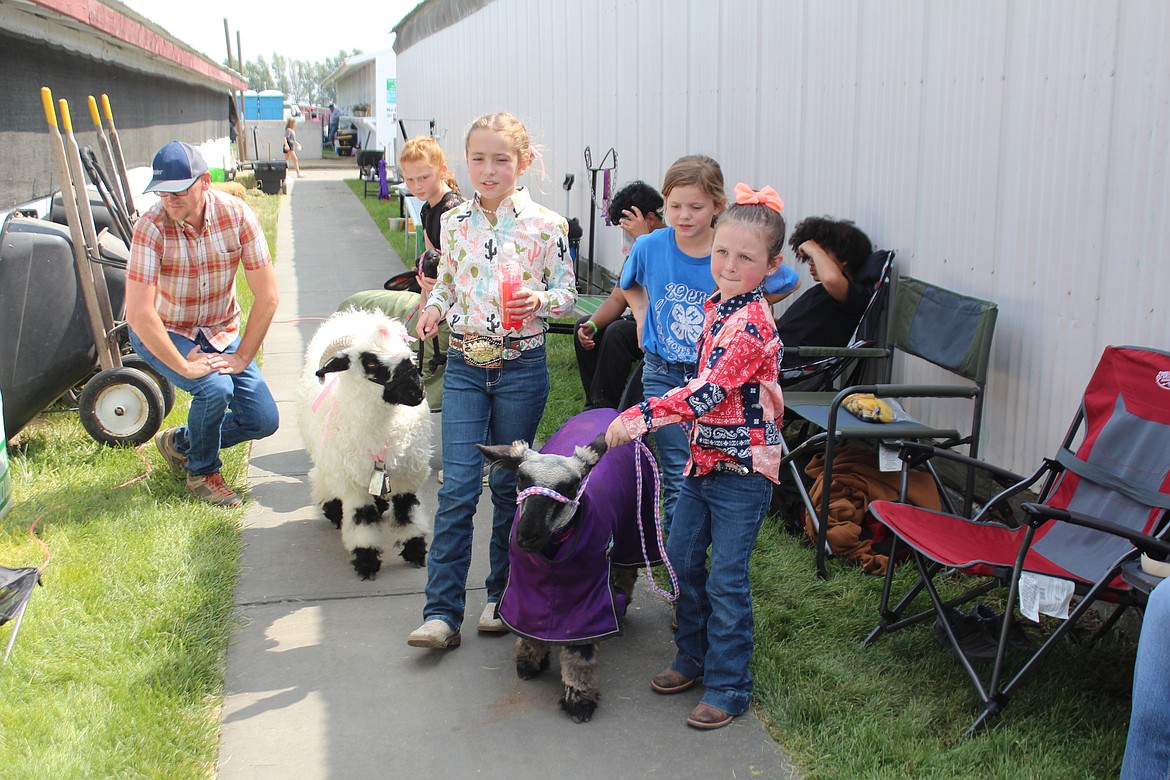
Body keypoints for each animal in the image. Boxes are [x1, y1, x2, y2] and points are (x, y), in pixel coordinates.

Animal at [297, 308, 435, 580]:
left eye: (407, 354)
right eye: (370, 362)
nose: (418, 391)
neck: (379, 430)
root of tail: (353, 315)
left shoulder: (407, 473)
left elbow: (407, 511)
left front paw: (414, 550)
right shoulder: (351, 481)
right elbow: (361, 519)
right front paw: (366, 561)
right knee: (323, 479)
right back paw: (333, 509)